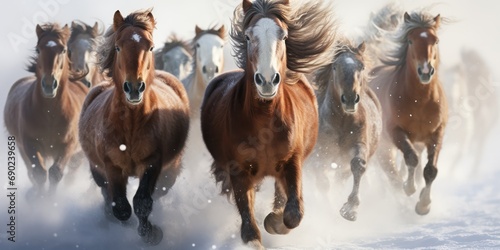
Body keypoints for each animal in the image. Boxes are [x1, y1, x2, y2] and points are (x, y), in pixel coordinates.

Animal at [3, 23, 89, 195]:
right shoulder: (30, 144)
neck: (50, 115)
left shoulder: (68, 145)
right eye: (38, 49)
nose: (49, 85)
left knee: (71, 174)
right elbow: (39, 173)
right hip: (21, 148)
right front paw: (40, 199)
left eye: (63, 50)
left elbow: (56, 172)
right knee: (31, 172)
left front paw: (49, 200)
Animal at [79, 9, 190, 244]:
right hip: (97, 170)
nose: (134, 88)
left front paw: (151, 234)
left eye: (150, 47)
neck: (129, 125)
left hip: (171, 170)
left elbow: (142, 202)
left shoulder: (152, 163)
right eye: (118, 47)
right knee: (107, 196)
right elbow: (120, 206)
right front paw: (131, 226)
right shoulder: (111, 166)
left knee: (159, 191)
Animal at [200, 0, 336, 246]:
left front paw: (273, 220)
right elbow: (250, 231)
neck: (265, 120)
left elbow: (293, 214)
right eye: (247, 36)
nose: (266, 80)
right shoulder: (239, 173)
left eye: (283, 35)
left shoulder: (292, 162)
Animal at [312, 39, 382, 221]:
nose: (350, 99)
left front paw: (350, 209)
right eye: (335, 66)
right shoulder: (319, 156)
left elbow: (358, 165)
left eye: (361, 66)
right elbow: (323, 183)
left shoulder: (358, 144)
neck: (342, 122)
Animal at [372, 11, 450, 215]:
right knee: (391, 175)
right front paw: (410, 188)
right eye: (410, 41)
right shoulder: (396, 132)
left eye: (436, 40)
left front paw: (424, 205)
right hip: (384, 148)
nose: (425, 71)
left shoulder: (437, 134)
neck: (419, 102)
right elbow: (411, 158)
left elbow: (430, 170)